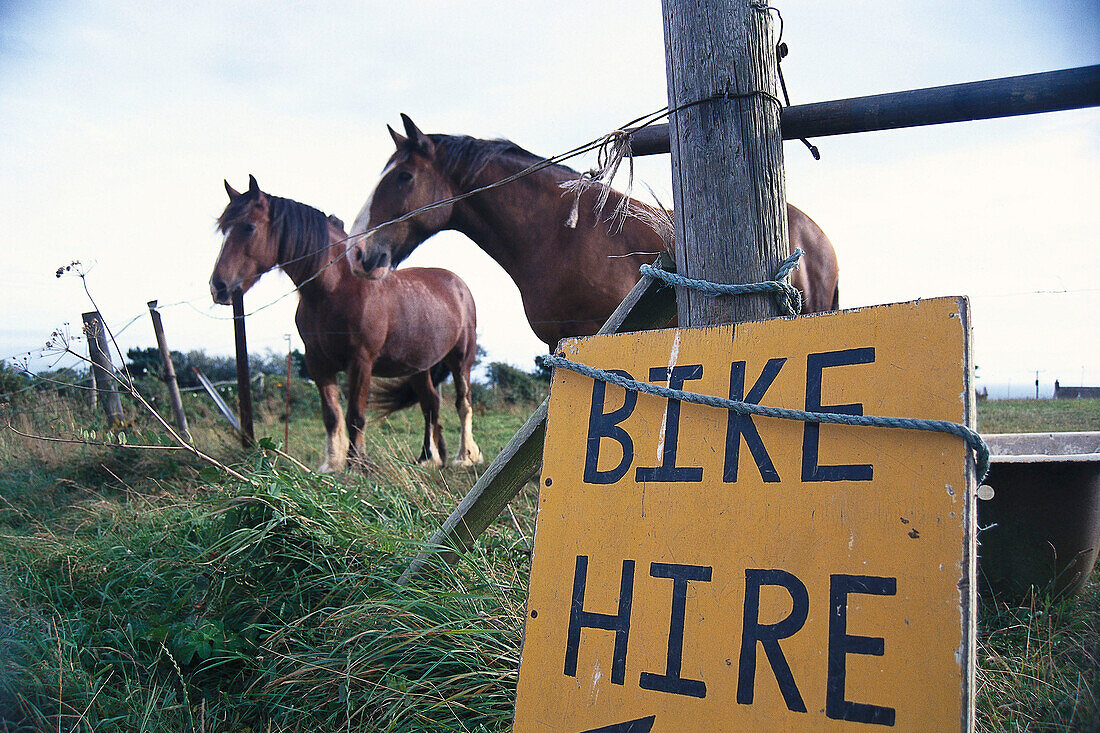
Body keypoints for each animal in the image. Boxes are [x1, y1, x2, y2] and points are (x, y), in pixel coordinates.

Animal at [207, 177, 479, 473]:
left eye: (249, 227)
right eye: (222, 229)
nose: (218, 287)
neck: (335, 288)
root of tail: (458, 285)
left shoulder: (360, 362)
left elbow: (355, 415)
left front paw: (357, 463)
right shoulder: (317, 362)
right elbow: (331, 415)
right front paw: (332, 463)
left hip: (461, 359)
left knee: (462, 403)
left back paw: (465, 456)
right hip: (419, 366)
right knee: (430, 404)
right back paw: (429, 457)